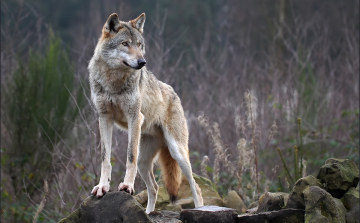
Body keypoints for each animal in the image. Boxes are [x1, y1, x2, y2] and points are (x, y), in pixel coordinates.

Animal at [87, 12, 204, 214]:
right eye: (125, 43)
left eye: (139, 45)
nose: (142, 62)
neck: (113, 82)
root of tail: (174, 93)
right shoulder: (104, 118)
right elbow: (105, 159)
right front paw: (102, 187)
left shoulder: (134, 117)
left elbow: (129, 157)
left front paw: (127, 186)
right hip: (145, 162)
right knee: (155, 188)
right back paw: (148, 213)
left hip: (178, 152)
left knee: (195, 186)